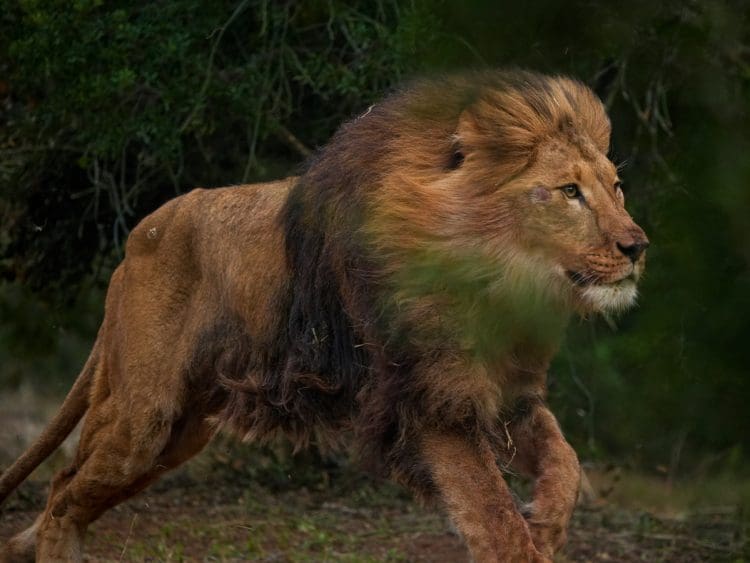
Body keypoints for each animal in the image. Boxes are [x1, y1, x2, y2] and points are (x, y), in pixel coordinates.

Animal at [0, 71, 648, 563]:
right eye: (568, 192)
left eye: (617, 188)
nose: (638, 246)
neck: (503, 286)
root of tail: (136, 238)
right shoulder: (432, 402)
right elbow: (493, 517)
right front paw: (526, 533)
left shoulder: (504, 397)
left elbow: (565, 460)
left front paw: (547, 523)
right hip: (144, 416)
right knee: (61, 494)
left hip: (181, 431)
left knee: (68, 490)